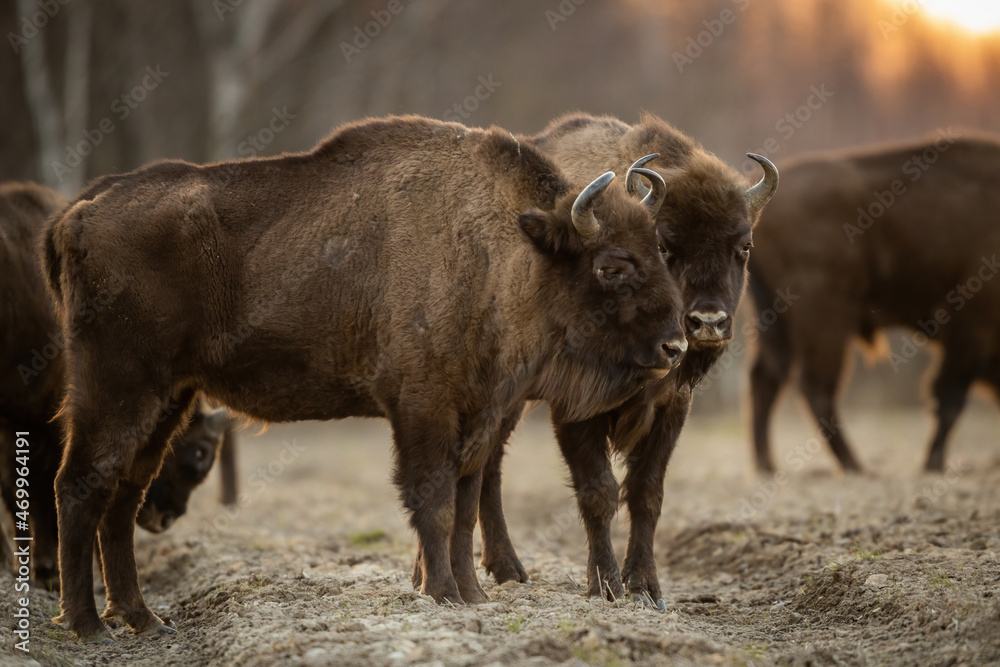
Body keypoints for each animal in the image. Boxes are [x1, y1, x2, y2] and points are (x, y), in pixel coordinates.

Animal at [42, 116, 686, 641]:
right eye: (613, 266)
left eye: (660, 250)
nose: (676, 345)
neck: (501, 248)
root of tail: (80, 210)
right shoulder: (424, 409)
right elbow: (434, 501)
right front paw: (444, 595)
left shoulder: (478, 415)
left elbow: (466, 502)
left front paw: (472, 596)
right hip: (116, 390)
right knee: (79, 485)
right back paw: (87, 627)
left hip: (166, 400)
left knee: (123, 495)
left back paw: (143, 619)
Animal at [748, 130, 1000, 473]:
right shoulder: (970, 331)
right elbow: (949, 398)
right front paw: (933, 464)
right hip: (826, 322)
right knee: (816, 387)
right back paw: (855, 466)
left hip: (776, 323)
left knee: (768, 379)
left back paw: (768, 466)